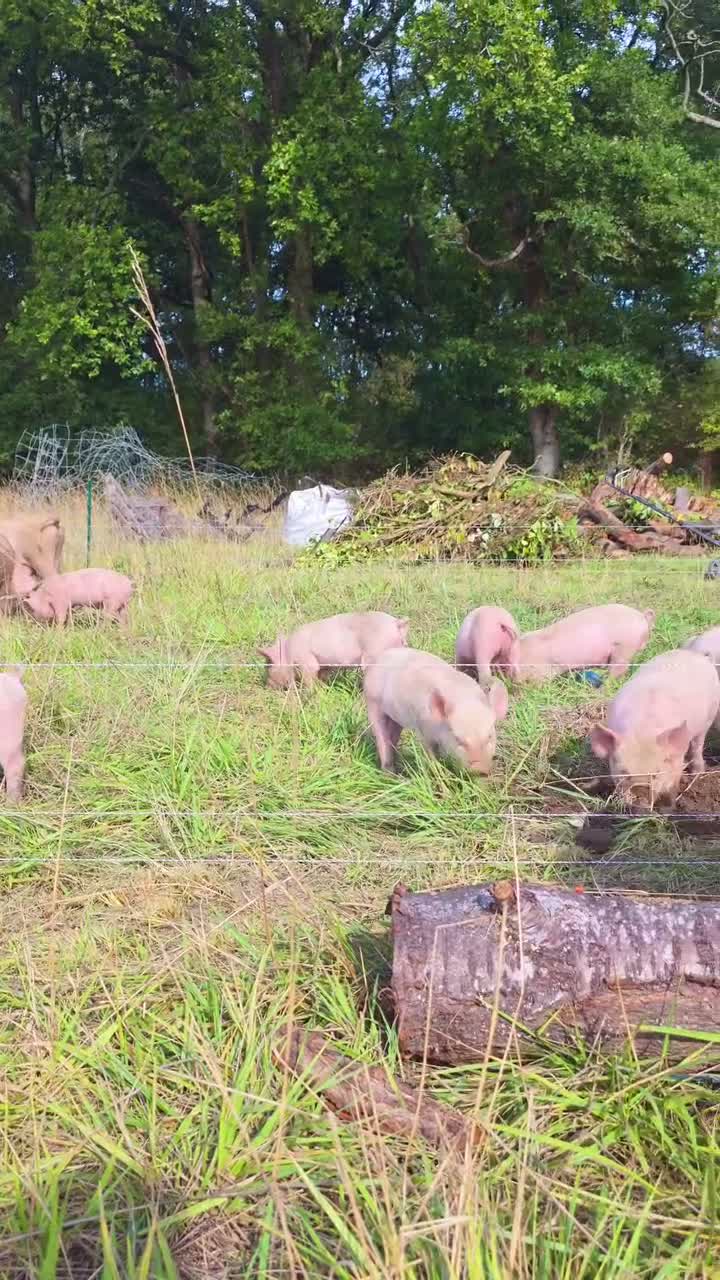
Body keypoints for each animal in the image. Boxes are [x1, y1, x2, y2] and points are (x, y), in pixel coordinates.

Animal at [258, 611, 409, 689]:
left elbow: (309, 678)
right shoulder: (325, 665)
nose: (267, 687)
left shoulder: (305, 660)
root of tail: (397, 623)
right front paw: (325, 689)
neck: (288, 650)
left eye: (268, 664)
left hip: (375, 653)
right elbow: (321, 676)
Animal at [363, 646, 508, 774]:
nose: (479, 769)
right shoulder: (423, 729)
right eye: (457, 739)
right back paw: (391, 774)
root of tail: (378, 658)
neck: (464, 700)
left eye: (489, 736)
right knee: (381, 736)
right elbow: (430, 754)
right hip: (372, 701)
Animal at [589, 649, 720, 810]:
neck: (642, 731)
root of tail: (694, 653)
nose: (640, 796)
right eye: (624, 773)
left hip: (709, 716)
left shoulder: (676, 760)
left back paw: (698, 772)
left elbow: (673, 786)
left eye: (656, 774)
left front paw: (668, 809)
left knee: (698, 744)